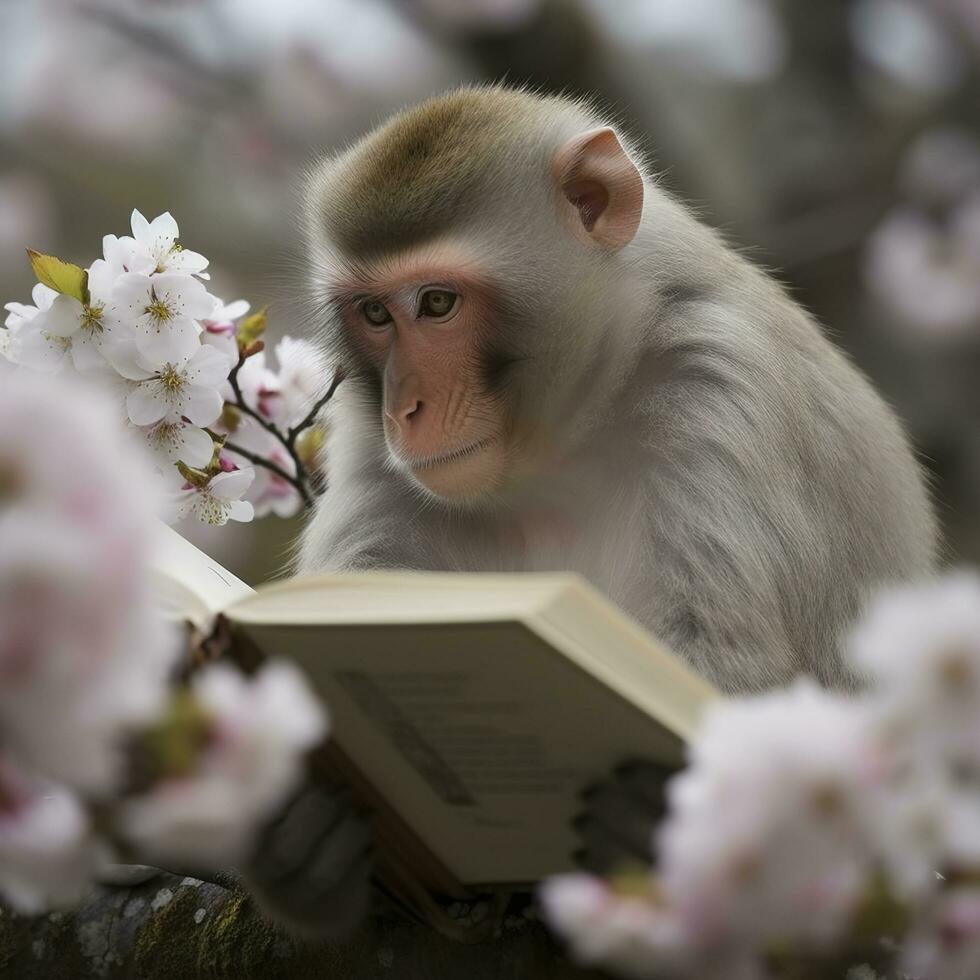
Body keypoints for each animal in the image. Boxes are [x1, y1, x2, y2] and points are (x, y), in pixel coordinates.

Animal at [241, 90, 936, 936]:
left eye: (436, 303)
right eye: (375, 314)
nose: (405, 409)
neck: (565, 437)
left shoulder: (719, 381)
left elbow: (730, 670)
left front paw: (651, 818)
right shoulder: (373, 444)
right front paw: (300, 837)